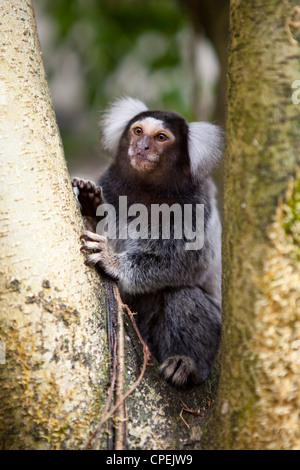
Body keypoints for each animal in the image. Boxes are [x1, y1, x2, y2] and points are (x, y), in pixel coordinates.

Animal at [72, 97, 223, 388]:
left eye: (161, 137)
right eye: (138, 131)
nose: (141, 147)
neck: (146, 190)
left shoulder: (195, 207)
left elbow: (184, 262)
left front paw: (113, 262)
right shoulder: (113, 185)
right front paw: (91, 201)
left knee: (181, 296)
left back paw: (186, 365)